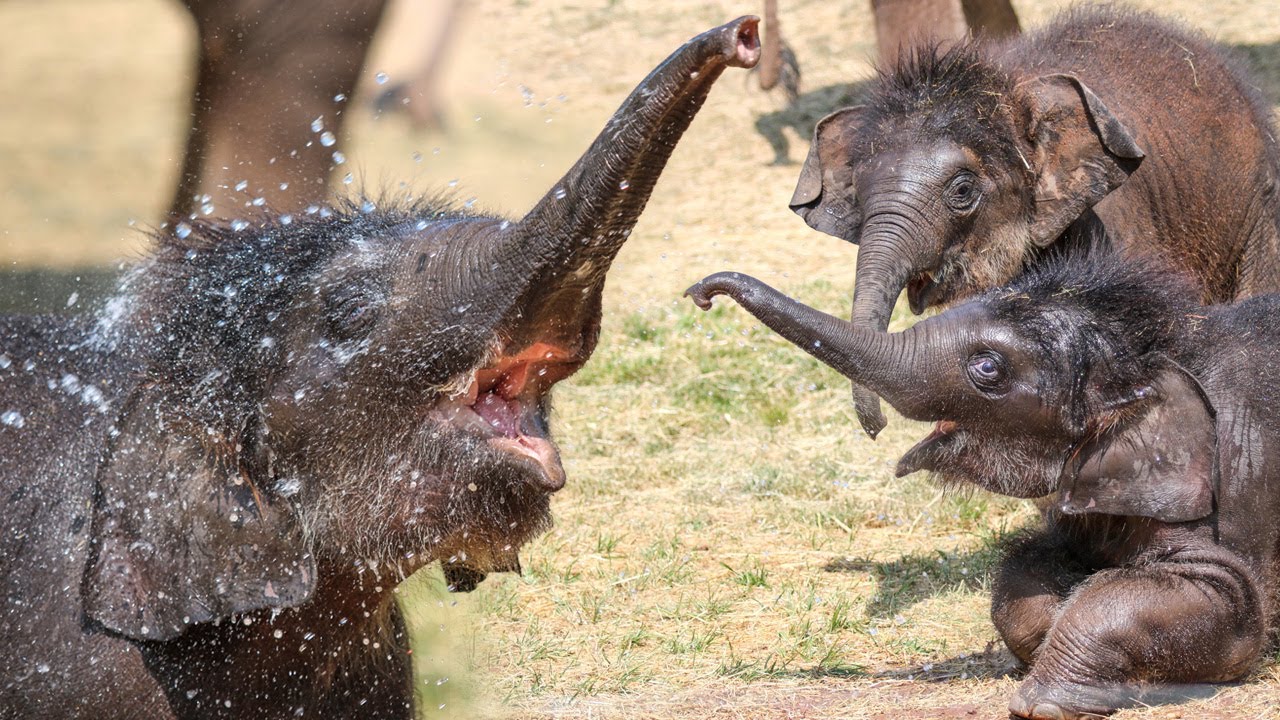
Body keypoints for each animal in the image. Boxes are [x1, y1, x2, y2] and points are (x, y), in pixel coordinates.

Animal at [685, 244, 1280, 718]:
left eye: (988, 367)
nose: (702, 292)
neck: (1160, 343)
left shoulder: (1221, 497)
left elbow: (1215, 604)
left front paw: (1044, 705)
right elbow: (1026, 569)